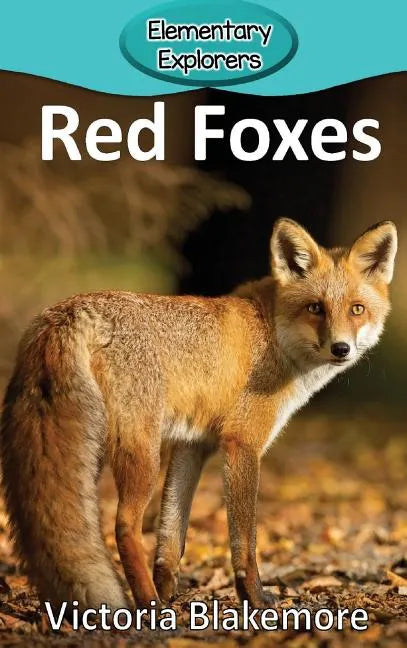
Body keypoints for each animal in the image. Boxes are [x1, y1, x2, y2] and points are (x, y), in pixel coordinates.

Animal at [0, 218, 398, 615]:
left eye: (357, 309)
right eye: (315, 308)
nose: (341, 348)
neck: (272, 334)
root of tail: (68, 312)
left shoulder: (192, 445)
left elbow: (172, 536)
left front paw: (168, 591)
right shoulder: (241, 443)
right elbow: (244, 539)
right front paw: (253, 597)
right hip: (140, 455)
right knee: (124, 526)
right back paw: (148, 605)